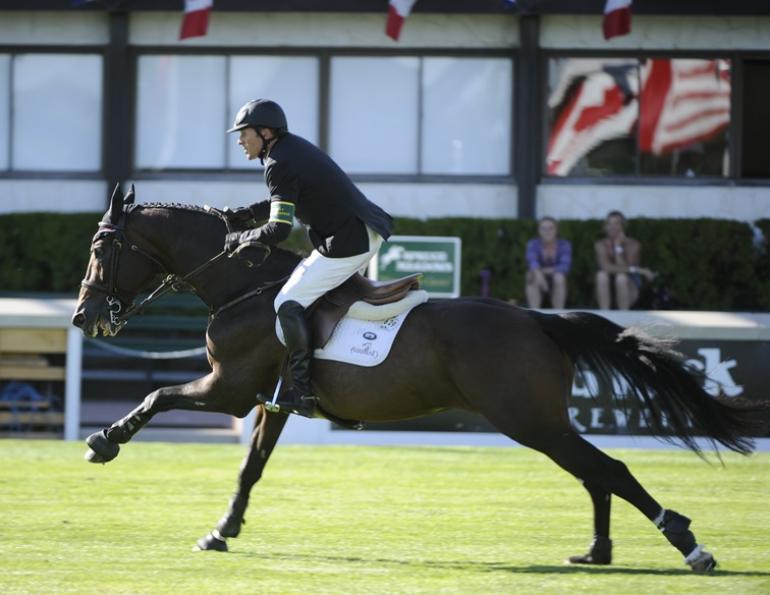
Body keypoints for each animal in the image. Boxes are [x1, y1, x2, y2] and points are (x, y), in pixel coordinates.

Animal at [72, 185, 767, 572]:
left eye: (102, 251)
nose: (83, 317)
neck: (242, 286)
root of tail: (538, 319)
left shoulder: (230, 389)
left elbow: (157, 394)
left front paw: (105, 441)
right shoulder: (272, 403)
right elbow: (250, 470)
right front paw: (223, 531)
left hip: (528, 420)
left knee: (610, 470)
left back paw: (688, 545)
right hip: (541, 423)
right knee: (595, 474)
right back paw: (598, 552)